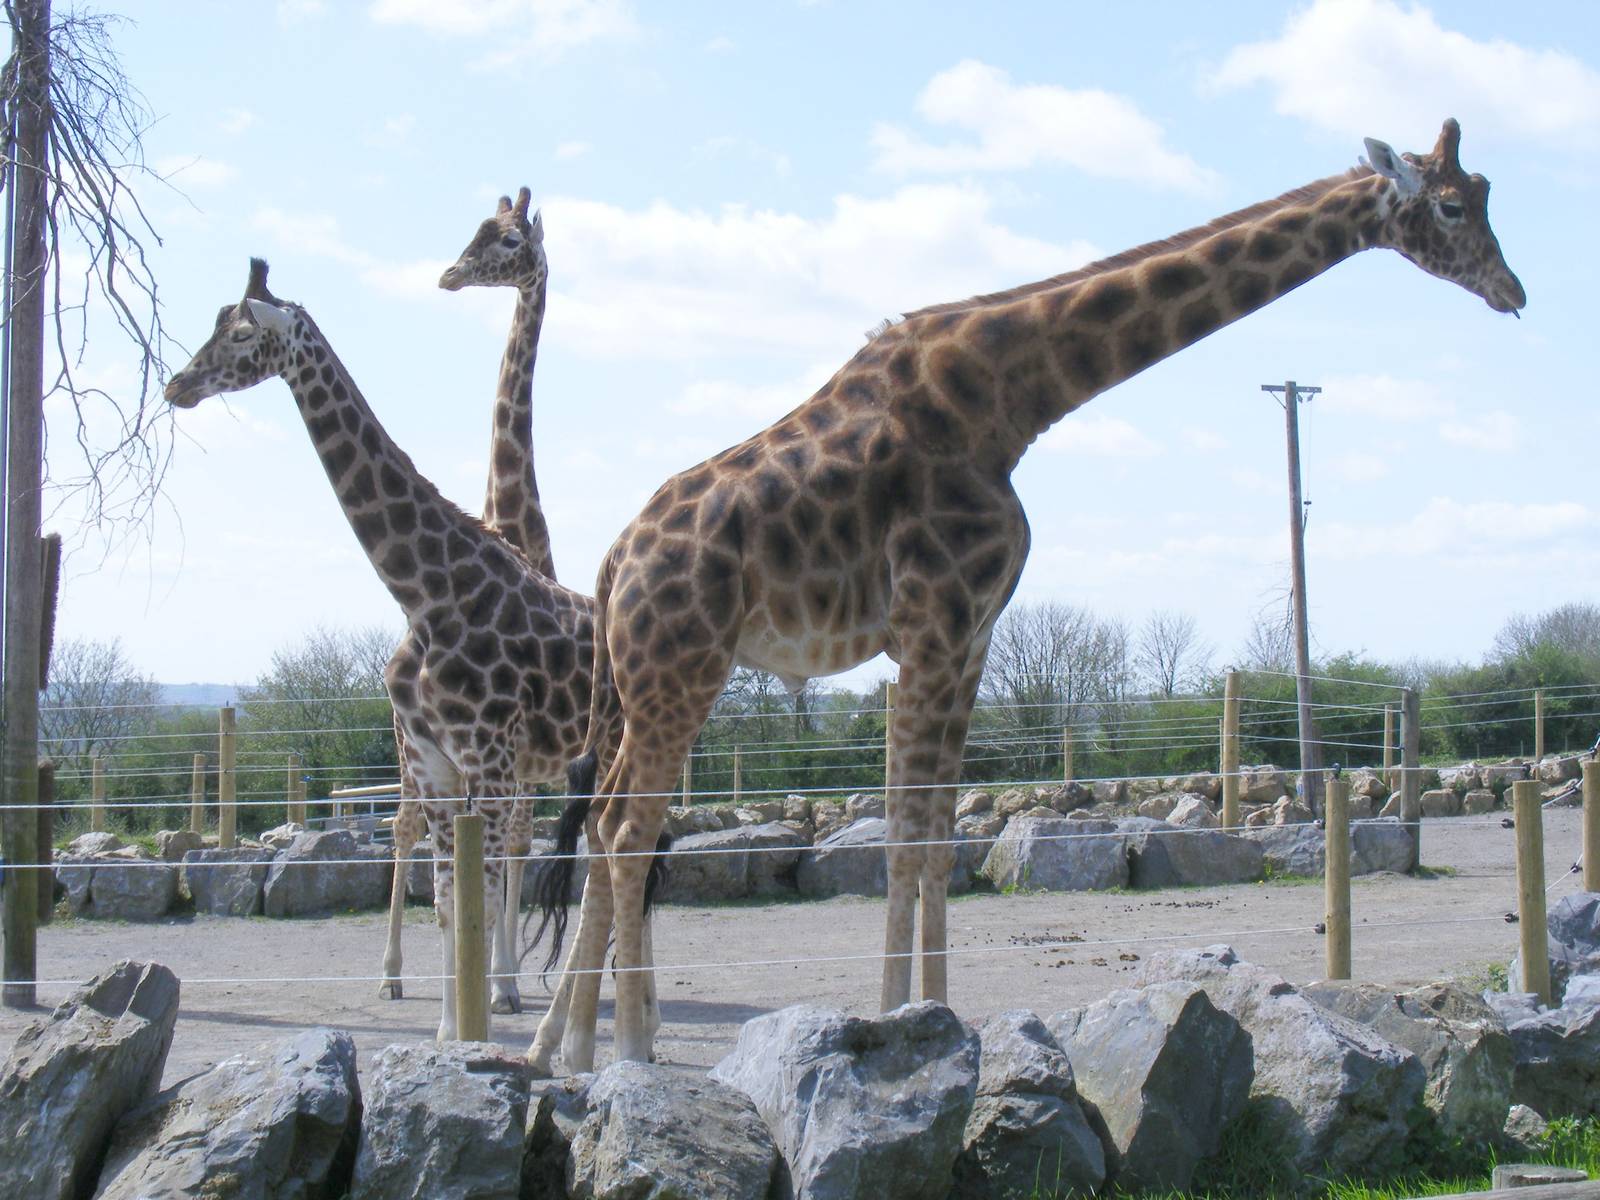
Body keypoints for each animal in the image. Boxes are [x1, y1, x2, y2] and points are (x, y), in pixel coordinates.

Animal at [164, 258, 621, 1043]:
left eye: (245, 333)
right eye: (215, 323)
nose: (176, 385)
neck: (428, 594)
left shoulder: (490, 760)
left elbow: (483, 891)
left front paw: (483, 1019)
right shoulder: (435, 762)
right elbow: (444, 900)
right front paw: (447, 1032)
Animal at [533, 119, 1524, 1067]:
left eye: (1483, 193)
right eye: (1448, 207)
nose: (1514, 292)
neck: (1012, 402)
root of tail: (615, 562)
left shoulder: (970, 636)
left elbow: (938, 837)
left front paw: (938, 1017)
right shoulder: (933, 625)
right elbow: (906, 835)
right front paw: (894, 1019)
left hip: (644, 685)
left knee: (609, 823)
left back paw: (571, 1044)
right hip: (683, 671)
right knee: (627, 830)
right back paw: (624, 1049)